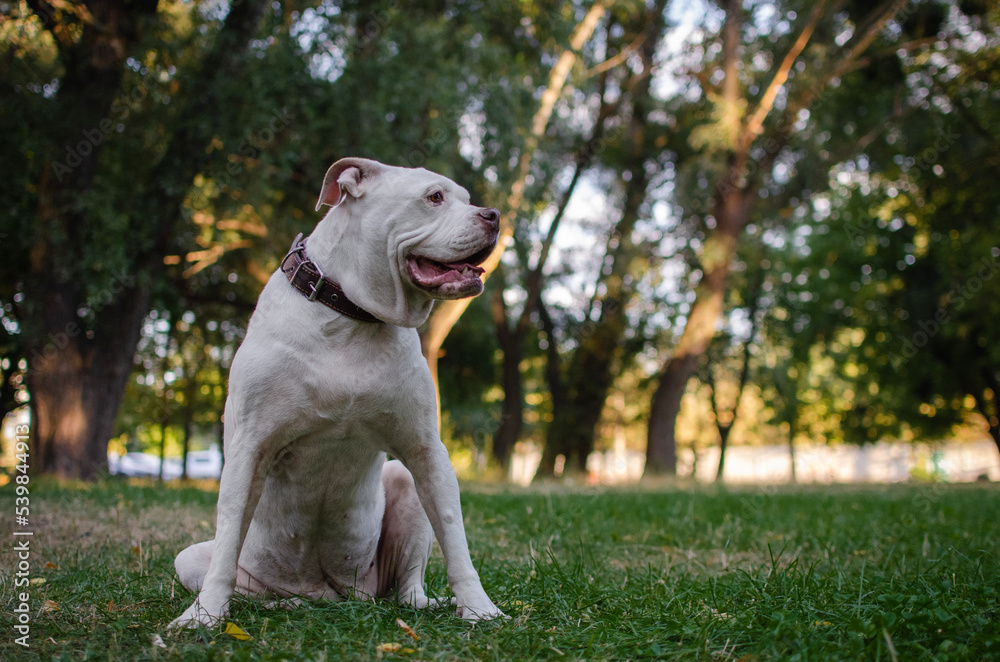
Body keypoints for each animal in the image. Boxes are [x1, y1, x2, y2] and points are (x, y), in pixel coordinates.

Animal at [169, 158, 508, 632]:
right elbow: (228, 538)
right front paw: (203, 617)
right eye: (435, 197)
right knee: (242, 581)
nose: (493, 215)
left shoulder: (426, 452)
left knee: (407, 588)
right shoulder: (249, 448)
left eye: (467, 197)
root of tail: (324, 592)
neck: (350, 315)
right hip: (193, 560)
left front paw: (479, 608)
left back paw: (422, 603)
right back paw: (273, 605)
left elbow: (454, 537)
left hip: (403, 489)